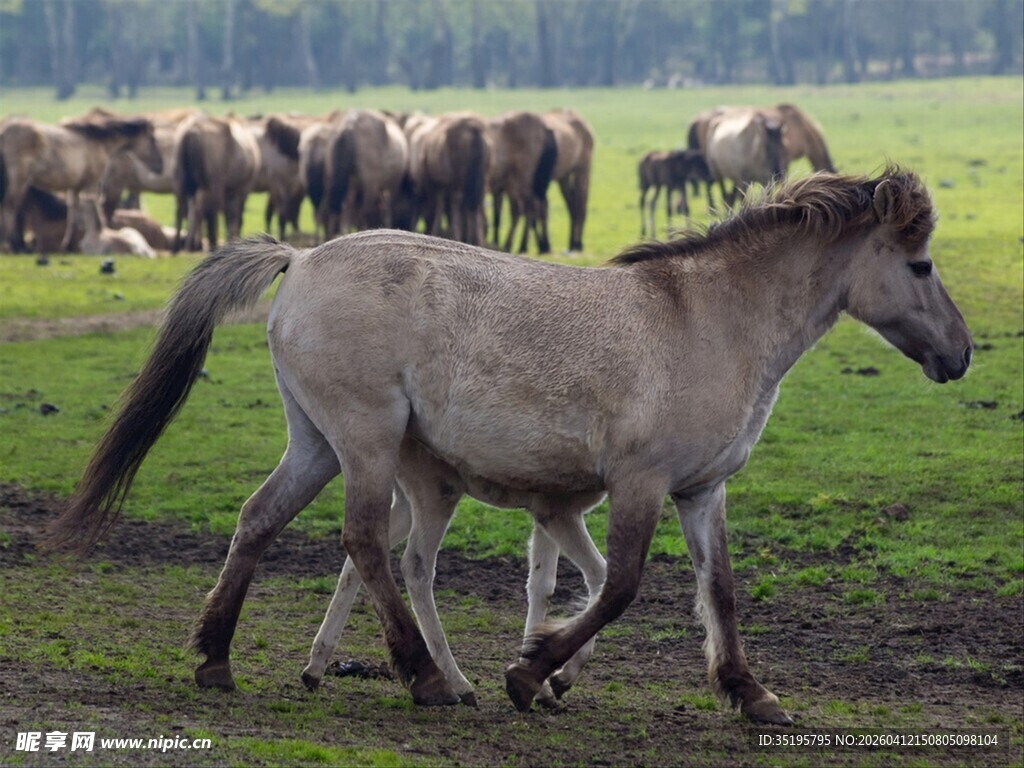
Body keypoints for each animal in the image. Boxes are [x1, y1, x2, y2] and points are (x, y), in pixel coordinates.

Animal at [0, 113, 161, 253]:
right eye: (152, 139)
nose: (160, 166)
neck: (98, 141)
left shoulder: (75, 188)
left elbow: (74, 214)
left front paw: (67, 245)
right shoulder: (91, 185)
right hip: (19, 181)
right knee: (10, 208)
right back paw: (13, 245)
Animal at [48, 168, 972, 725]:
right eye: (921, 265)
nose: (961, 354)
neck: (708, 320)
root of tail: (300, 259)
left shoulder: (701, 491)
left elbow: (721, 593)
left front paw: (750, 694)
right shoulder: (639, 484)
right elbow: (620, 587)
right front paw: (532, 672)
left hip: (315, 442)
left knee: (258, 519)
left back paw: (215, 659)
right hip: (367, 442)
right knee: (368, 545)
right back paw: (425, 677)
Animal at [172, 113, 261, 252]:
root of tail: (192, 131)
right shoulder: (242, 188)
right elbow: (233, 215)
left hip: (181, 182)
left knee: (182, 210)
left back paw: (179, 246)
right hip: (214, 184)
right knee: (211, 211)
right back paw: (212, 244)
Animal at [324, 109, 409, 237]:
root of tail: (350, 125)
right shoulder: (392, 186)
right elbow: (387, 210)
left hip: (344, 180)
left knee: (344, 208)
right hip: (370, 183)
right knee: (365, 211)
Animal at [486, 111, 558, 254]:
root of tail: (544, 128)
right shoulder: (499, 189)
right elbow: (496, 216)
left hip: (525, 182)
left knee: (530, 207)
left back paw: (523, 245)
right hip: (531, 184)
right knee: (536, 207)